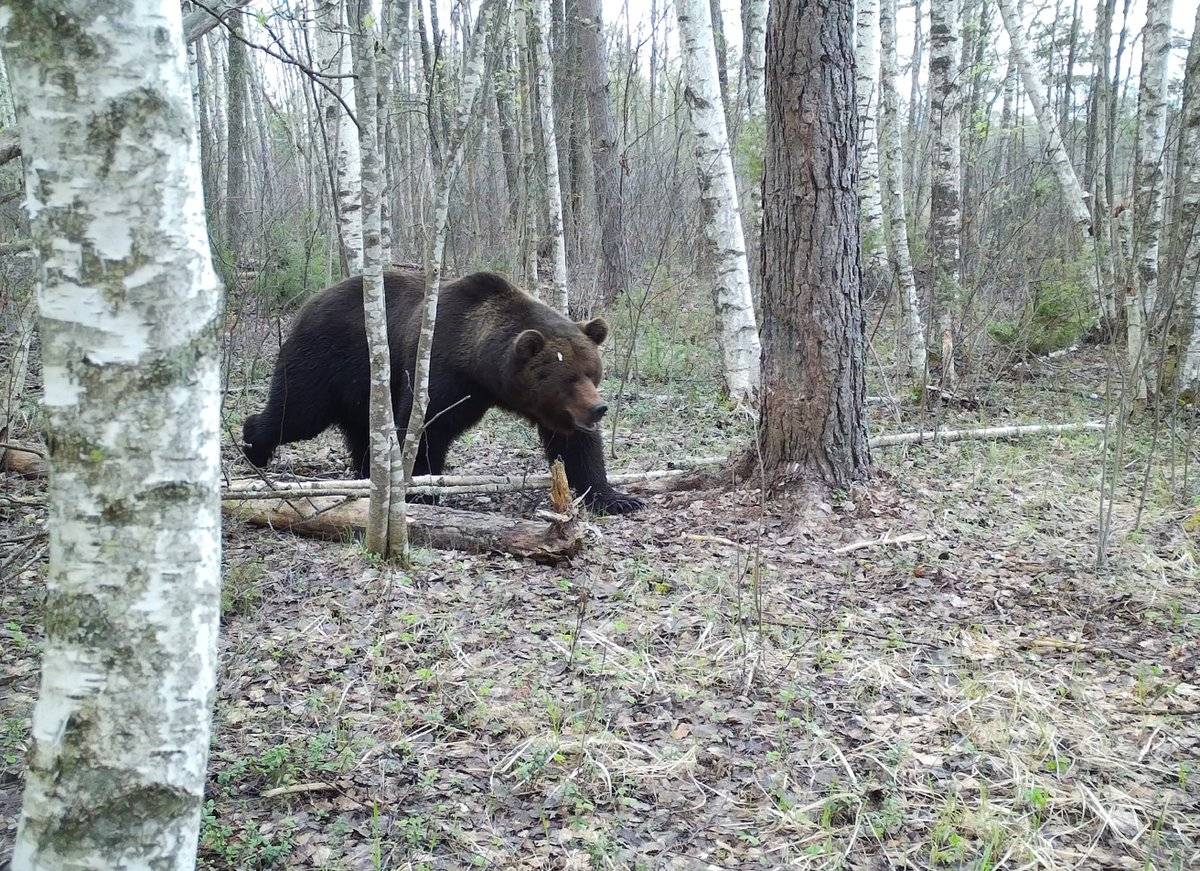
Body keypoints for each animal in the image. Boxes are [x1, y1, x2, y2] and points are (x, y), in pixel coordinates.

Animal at [242, 271, 648, 518]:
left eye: (592, 372)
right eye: (568, 378)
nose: (598, 408)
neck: (480, 365)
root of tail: (308, 303)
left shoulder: (551, 411)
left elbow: (575, 448)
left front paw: (618, 498)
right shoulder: (439, 373)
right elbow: (423, 429)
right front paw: (421, 490)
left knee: (359, 429)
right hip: (329, 358)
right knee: (297, 412)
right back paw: (253, 446)